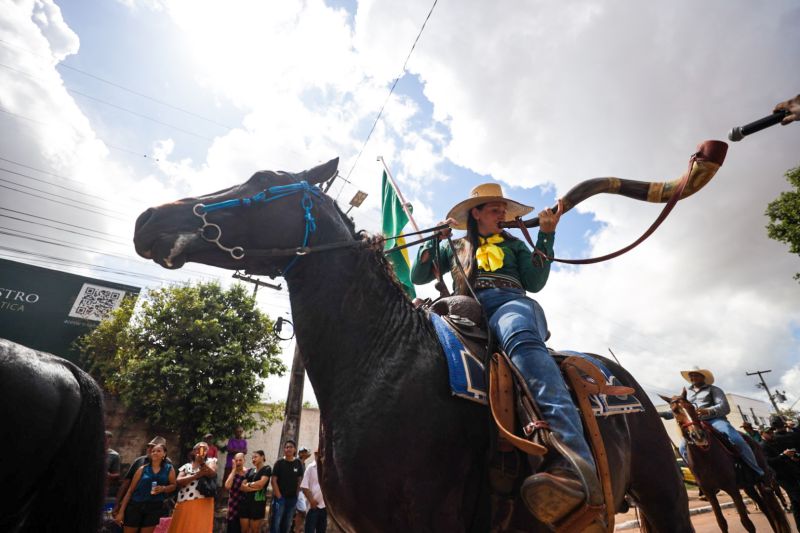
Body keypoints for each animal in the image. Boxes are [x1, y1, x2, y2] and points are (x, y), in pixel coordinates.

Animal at [664, 386, 788, 532]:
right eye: (674, 411)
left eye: (692, 407)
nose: (698, 435)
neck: (705, 457)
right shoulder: (710, 493)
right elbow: (721, 523)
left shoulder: (732, 489)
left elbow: (747, 523)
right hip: (748, 486)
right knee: (765, 508)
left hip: (762, 482)